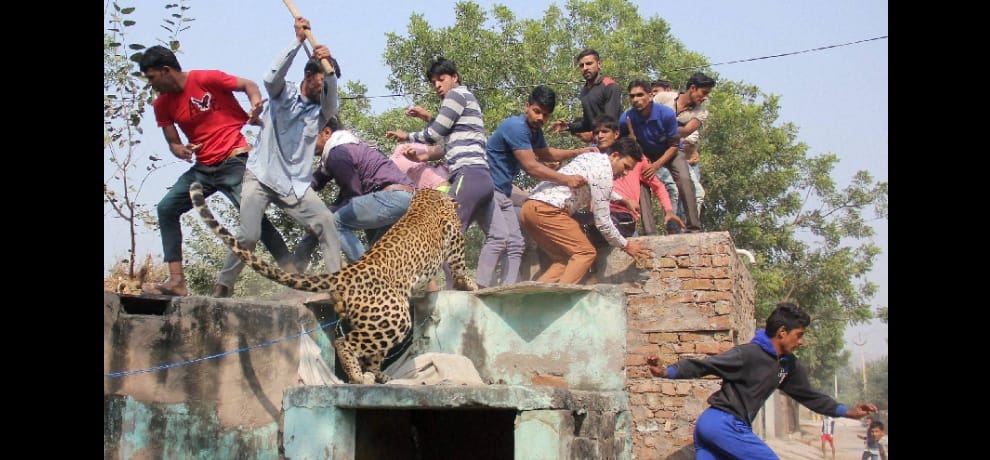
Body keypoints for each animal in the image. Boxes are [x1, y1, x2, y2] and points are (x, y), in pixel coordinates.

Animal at [189, 182, 477, 384]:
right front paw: (471, 286)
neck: (426, 196)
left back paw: (379, 376)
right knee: (344, 343)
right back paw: (358, 377)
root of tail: (346, 273)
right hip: (395, 317)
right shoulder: (455, 239)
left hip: (376, 321)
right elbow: (460, 266)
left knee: (371, 353)